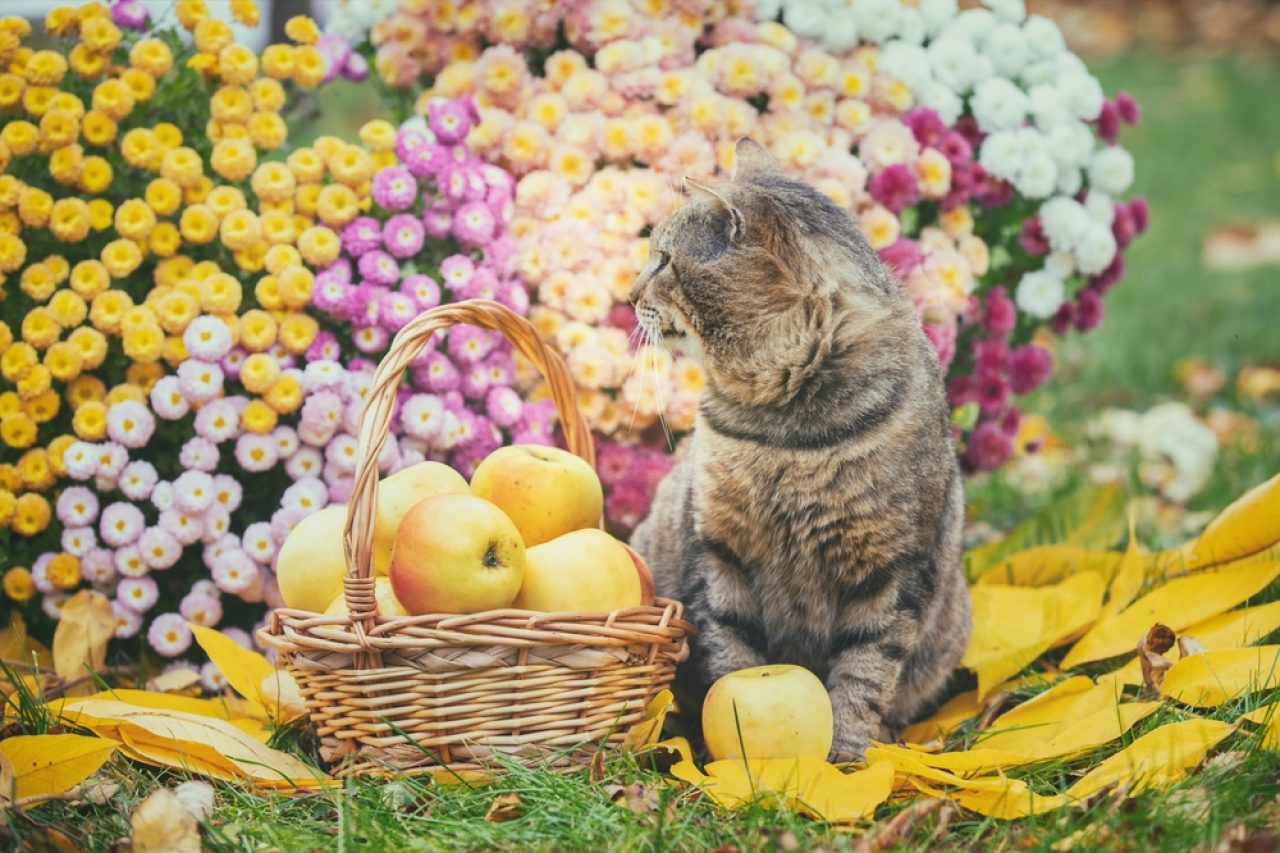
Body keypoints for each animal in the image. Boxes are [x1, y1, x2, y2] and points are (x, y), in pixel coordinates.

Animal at [629, 139, 967, 758]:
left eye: (663, 259)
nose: (629, 293)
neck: (784, 434)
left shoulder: (894, 569)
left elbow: (866, 669)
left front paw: (848, 758)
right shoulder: (719, 550)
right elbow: (730, 650)